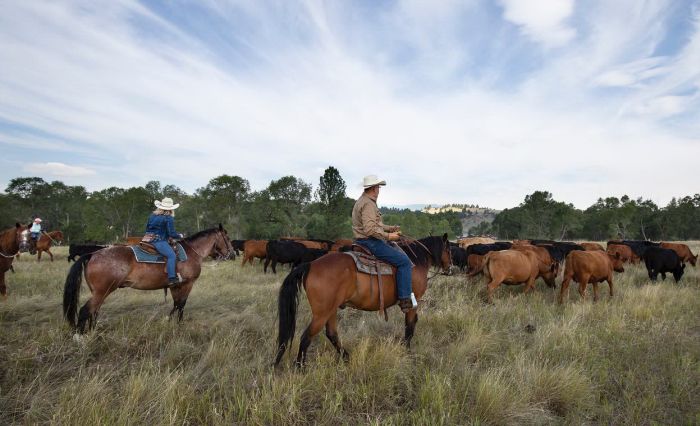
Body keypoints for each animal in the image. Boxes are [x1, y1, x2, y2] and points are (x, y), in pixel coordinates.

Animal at [63, 223, 232, 332]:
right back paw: (80, 338)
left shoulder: (175, 286)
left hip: (98, 292)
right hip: (102, 291)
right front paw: (177, 324)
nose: (232, 254)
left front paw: (170, 322)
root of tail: (92, 254)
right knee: (85, 311)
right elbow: (181, 304)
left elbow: (176, 304)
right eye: (228, 239)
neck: (192, 252)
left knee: (94, 311)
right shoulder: (187, 284)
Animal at [270, 235, 452, 368]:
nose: (450, 268)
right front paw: (407, 351)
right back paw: (300, 367)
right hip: (321, 313)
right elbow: (410, 326)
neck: (416, 260)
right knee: (306, 336)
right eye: (449, 249)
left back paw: (346, 357)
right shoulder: (413, 302)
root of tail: (310, 265)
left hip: (331, 309)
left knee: (331, 333)